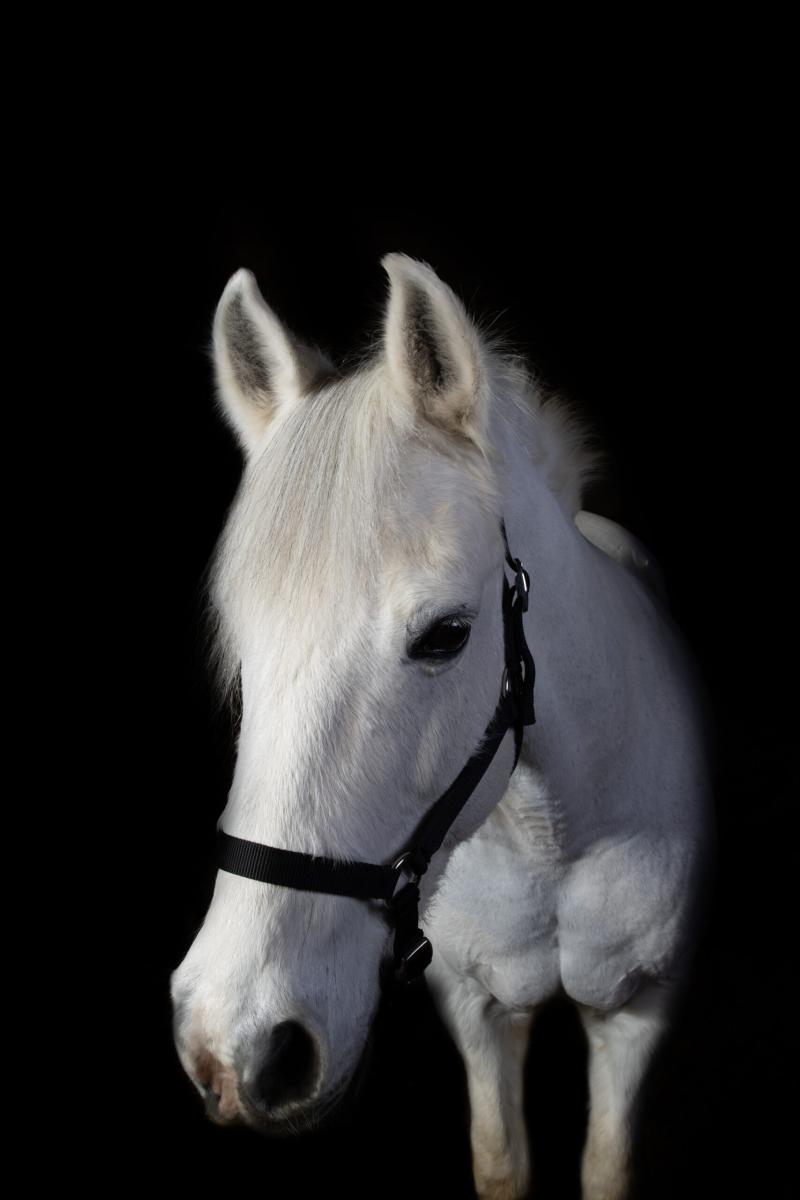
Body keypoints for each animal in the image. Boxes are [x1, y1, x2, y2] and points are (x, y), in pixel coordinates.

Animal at [170, 253, 715, 1200]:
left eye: (445, 636)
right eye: (244, 652)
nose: (236, 1046)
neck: (552, 838)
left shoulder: (636, 1015)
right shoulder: (474, 1008)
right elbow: (500, 1160)